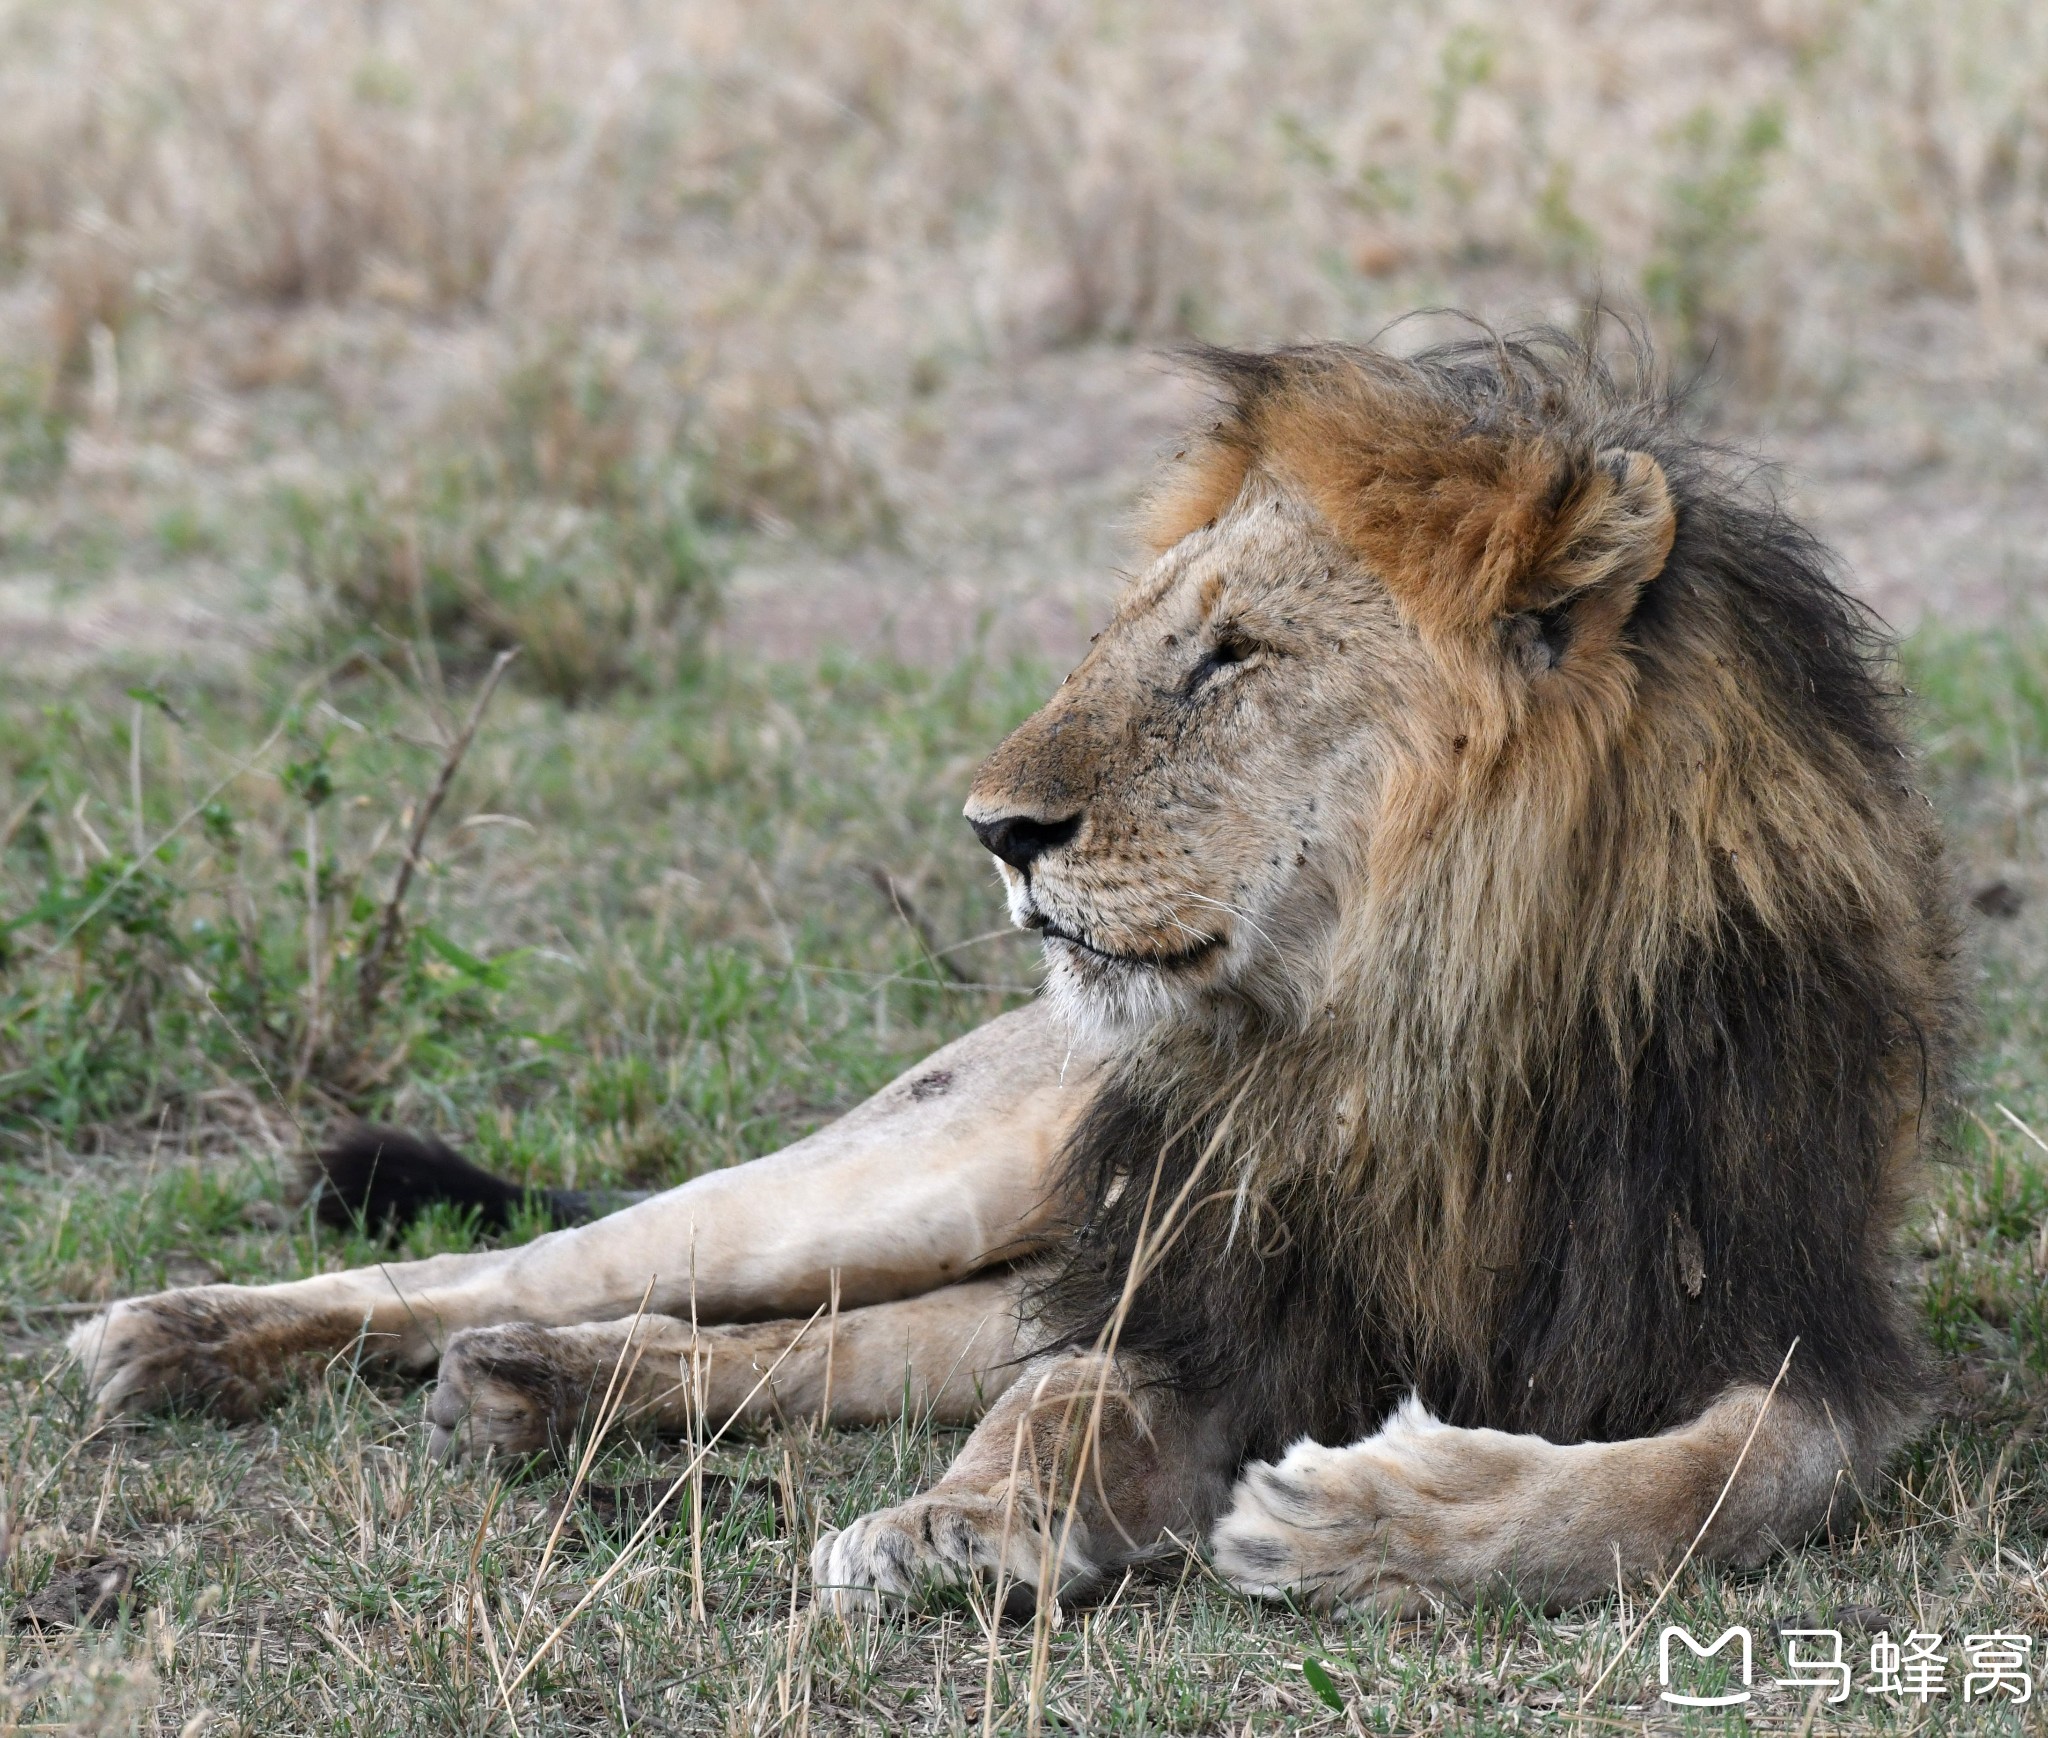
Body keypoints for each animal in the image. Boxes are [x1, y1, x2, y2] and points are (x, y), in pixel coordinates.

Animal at [68, 329, 1949, 1613]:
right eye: (1130, 635)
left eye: (1232, 653)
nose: (994, 829)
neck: (1408, 1038)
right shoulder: (1193, 1279)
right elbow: (1060, 1399)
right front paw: (956, 1521)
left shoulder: (1801, 1331)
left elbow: (1697, 1481)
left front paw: (1366, 1518)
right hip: (933, 1164)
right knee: (533, 1262)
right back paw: (184, 1334)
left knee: (814, 1341)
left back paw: (542, 1389)